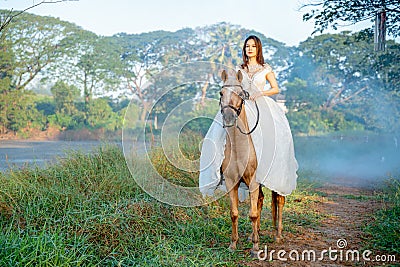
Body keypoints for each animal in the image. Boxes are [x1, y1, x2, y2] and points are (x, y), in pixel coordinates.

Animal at [219, 69, 284, 255]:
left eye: (241, 94)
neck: (240, 149)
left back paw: (277, 235)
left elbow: (253, 214)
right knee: (261, 199)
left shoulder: (253, 181)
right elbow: (234, 213)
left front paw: (255, 248)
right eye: (221, 93)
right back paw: (255, 233)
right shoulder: (231, 182)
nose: (228, 118)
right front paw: (233, 244)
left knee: (279, 201)